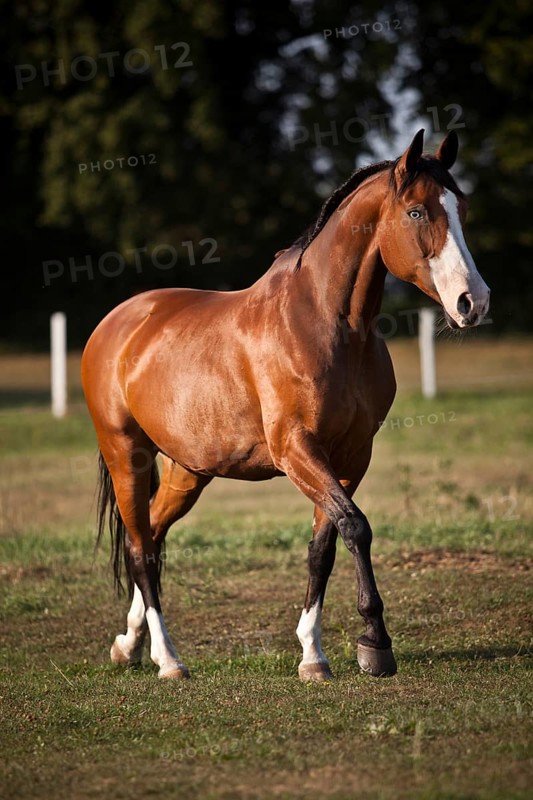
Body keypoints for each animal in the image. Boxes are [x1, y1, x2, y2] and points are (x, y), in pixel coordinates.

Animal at [81, 129, 490, 681]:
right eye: (417, 212)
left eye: (461, 208)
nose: (474, 302)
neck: (326, 324)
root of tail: (118, 322)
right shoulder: (297, 450)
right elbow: (356, 527)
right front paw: (374, 642)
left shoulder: (351, 456)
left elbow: (324, 546)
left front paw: (313, 655)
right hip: (127, 453)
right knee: (142, 549)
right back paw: (168, 660)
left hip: (188, 471)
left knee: (151, 535)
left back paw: (129, 645)